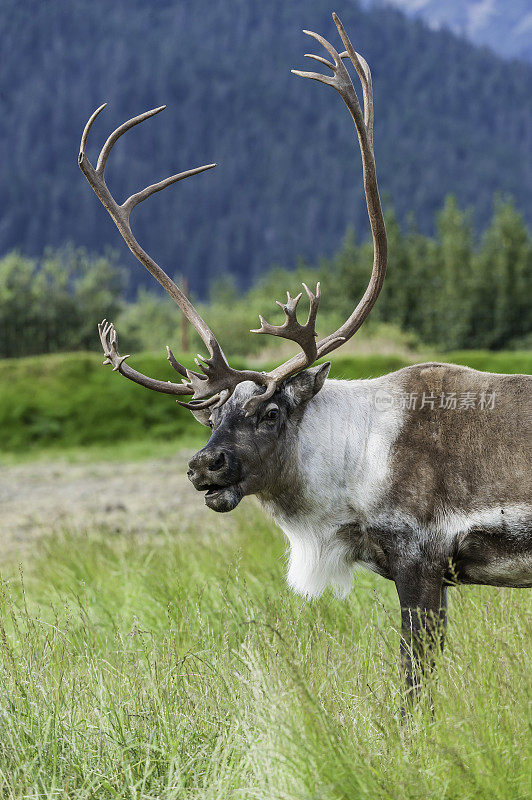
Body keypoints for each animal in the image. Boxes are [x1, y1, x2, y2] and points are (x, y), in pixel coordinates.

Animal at [77, 15, 528, 696]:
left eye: (269, 413)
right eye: (211, 417)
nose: (204, 466)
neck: (352, 462)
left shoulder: (422, 562)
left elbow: (414, 683)